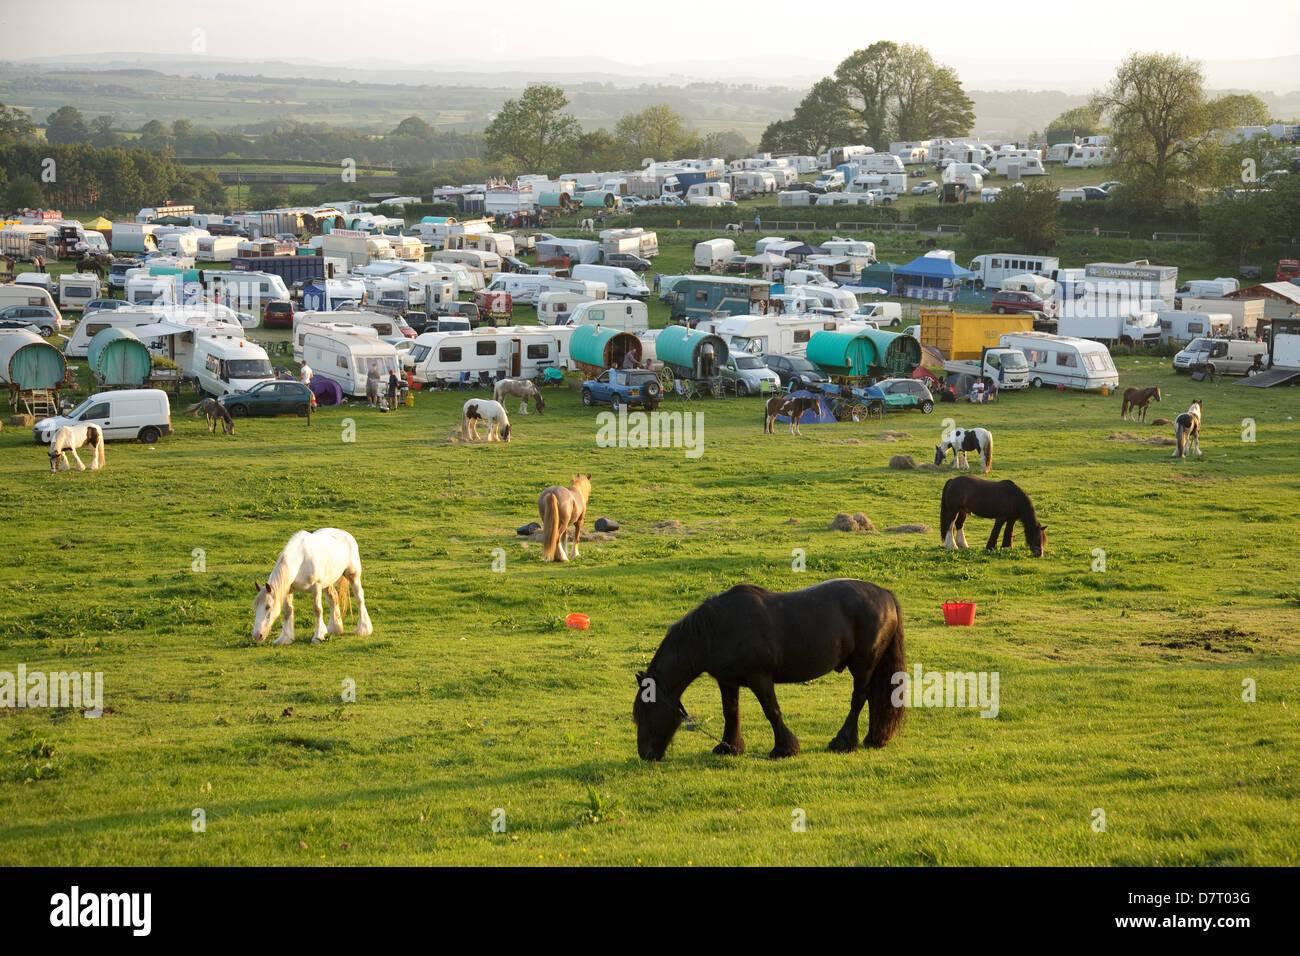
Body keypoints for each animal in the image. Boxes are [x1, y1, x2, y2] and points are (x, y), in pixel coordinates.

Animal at [631, 574, 904, 764]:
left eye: (647, 711)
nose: (645, 754)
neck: (717, 629)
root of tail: (885, 595)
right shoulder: (727, 681)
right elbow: (731, 711)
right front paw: (729, 747)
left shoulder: (760, 678)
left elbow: (771, 711)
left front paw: (785, 748)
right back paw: (872, 739)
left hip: (863, 665)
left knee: (859, 699)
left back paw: (843, 742)